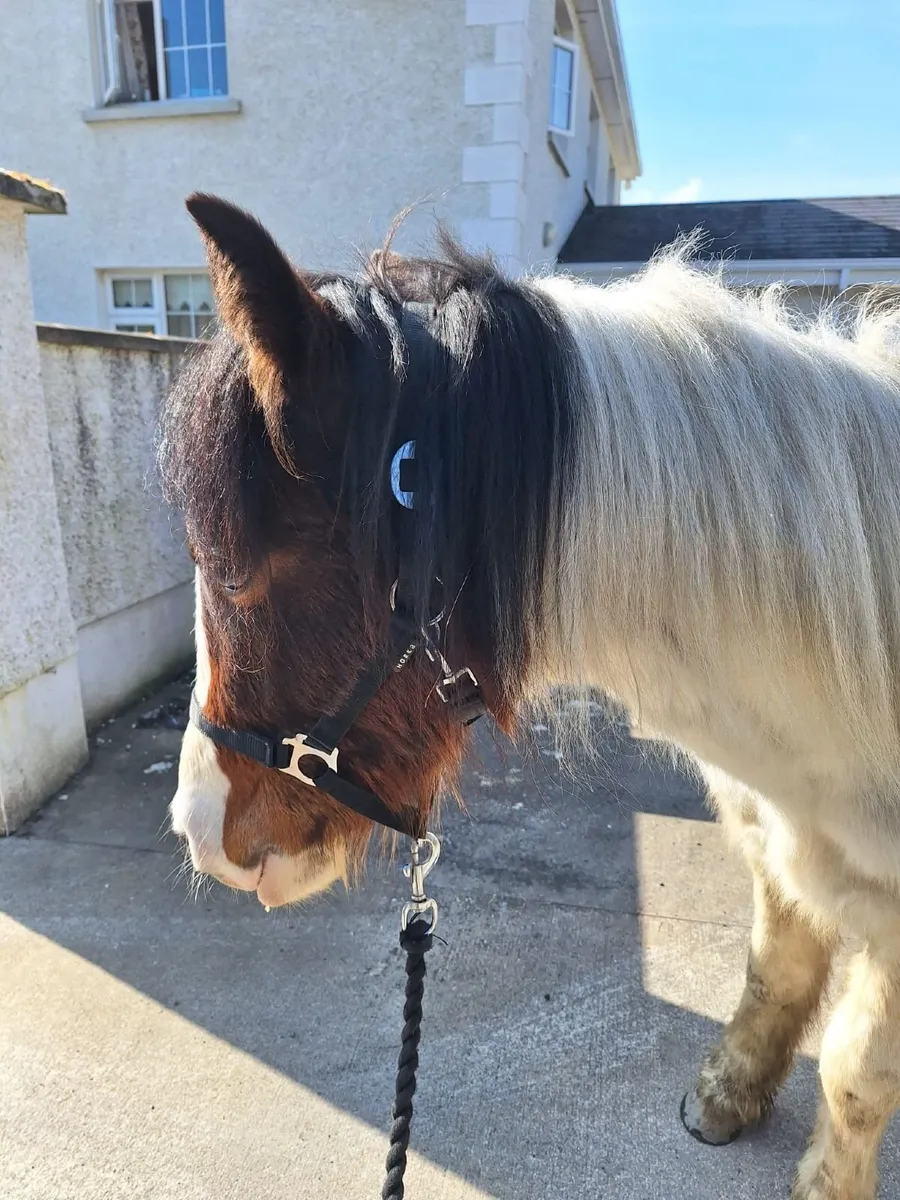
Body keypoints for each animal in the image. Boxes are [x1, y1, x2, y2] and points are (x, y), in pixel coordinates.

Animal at [161, 193, 900, 1200]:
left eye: (234, 575)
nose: (196, 829)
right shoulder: (771, 833)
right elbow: (776, 970)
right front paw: (730, 1091)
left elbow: (857, 1073)